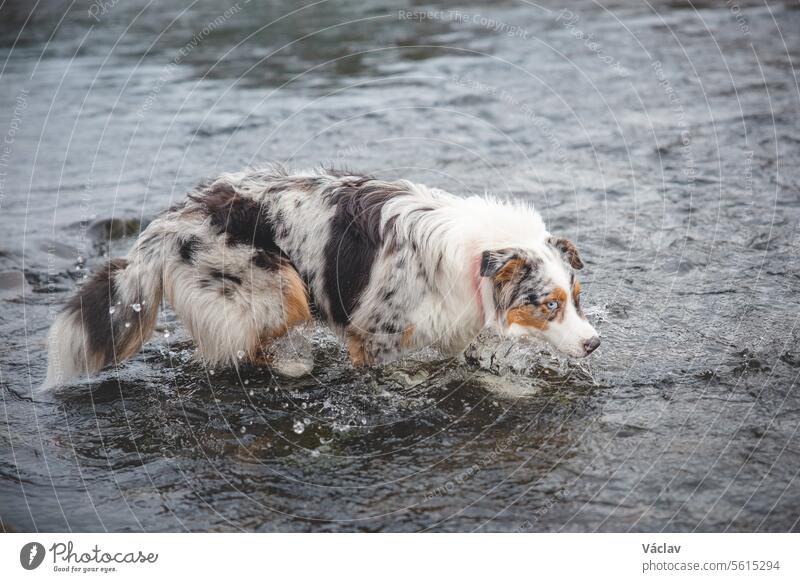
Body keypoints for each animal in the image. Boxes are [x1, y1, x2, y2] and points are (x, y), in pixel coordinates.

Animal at [40, 167, 596, 390]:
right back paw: (293, 367)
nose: (594, 344)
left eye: (576, 298)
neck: (475, 260)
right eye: (549, 304)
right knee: (244, 348)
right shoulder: (375, 336)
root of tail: (172, 220)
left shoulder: (459, 329)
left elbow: (479, 370)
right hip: (275, 290)